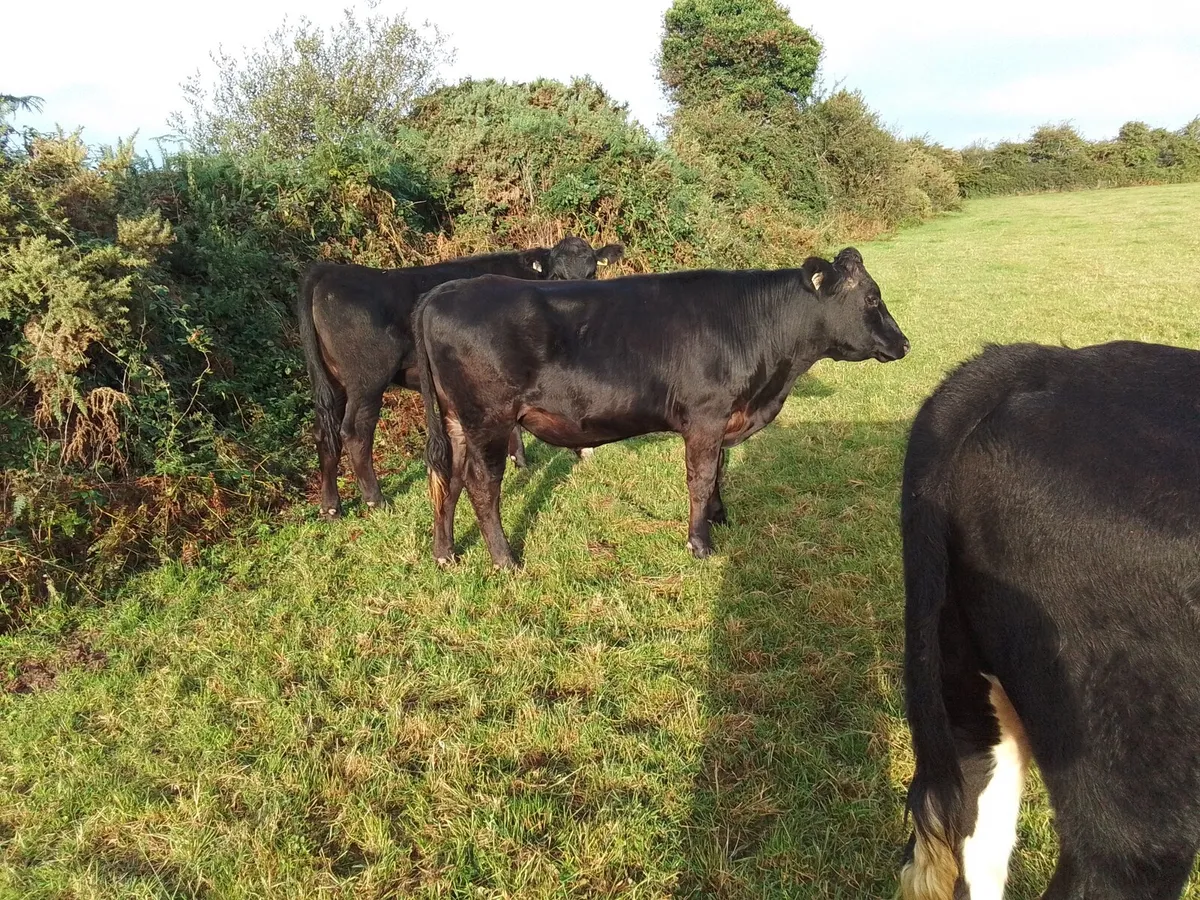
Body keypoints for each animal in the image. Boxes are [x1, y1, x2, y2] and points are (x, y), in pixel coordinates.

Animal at [297, 236, 623, 517]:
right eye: (556, 275)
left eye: (592, 272)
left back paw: (331, 508)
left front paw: (520, 462)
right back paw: (376, 501)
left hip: (334, 382)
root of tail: (329, 270)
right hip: (367, 380)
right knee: (355, 433)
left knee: (324, 432)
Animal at [412, 247, 909, 568]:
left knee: (448, 479)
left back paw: (445, 553)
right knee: (481, 485)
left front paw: (720, 519)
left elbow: (719, 472)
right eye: (872, 298)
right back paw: (504, 560)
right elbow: (701, 479)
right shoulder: (706, 417)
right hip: (488, 420)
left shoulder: (723, 419)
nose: (904, 343)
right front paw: (700, 545)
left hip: (457, 421)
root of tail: (443, 291)